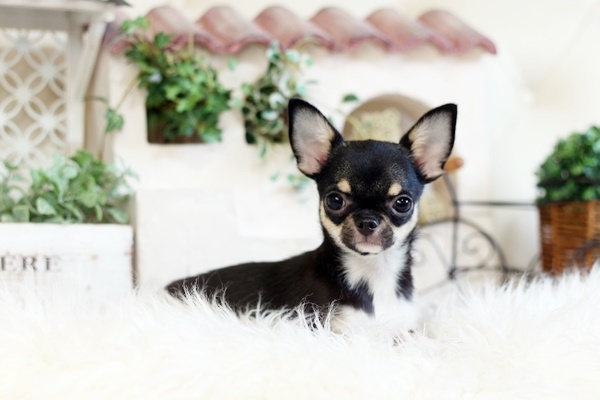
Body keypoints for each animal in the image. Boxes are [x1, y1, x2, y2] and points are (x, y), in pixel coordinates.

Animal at [167, 98, 457, 338]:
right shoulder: (331, 330)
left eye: (403, 203)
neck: (374, 274)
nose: (367, 220)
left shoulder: (402, 331)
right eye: (335, 200)